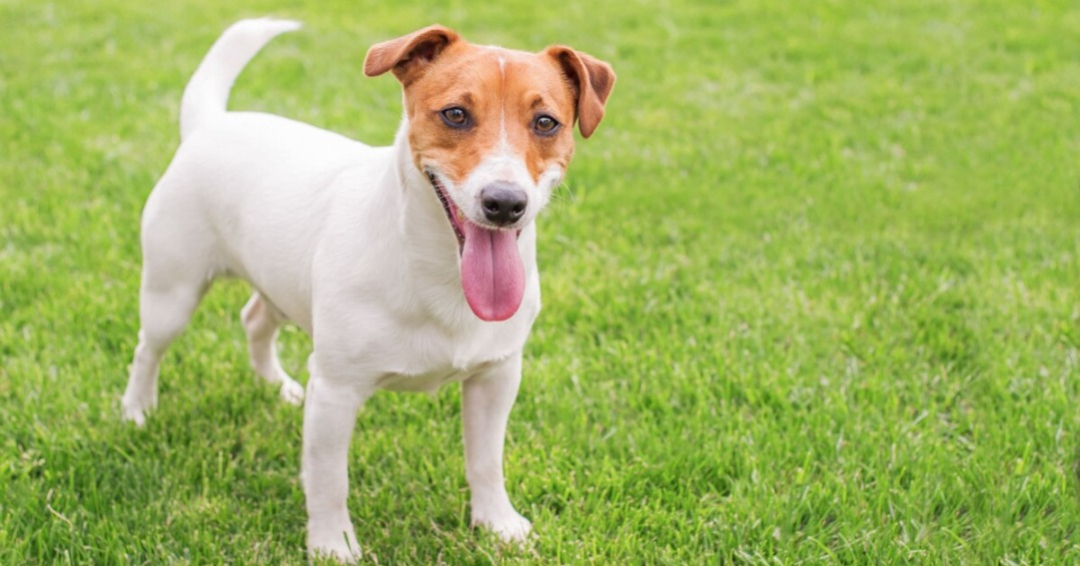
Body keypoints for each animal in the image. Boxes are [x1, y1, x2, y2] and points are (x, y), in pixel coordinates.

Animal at [119, 17, 617, 561]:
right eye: (456, 114)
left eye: (546, 122)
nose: (505, 203)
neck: (437, 271)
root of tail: (211, 123)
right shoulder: (336, 392)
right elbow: (328, 480)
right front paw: (332, 545)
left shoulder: (497, 375)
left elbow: (486, 460)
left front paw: (497, 524)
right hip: (172, 291)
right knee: (148, 349)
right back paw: (137, 410)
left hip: (282, 282)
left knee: (255, 320)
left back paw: (276, 386)